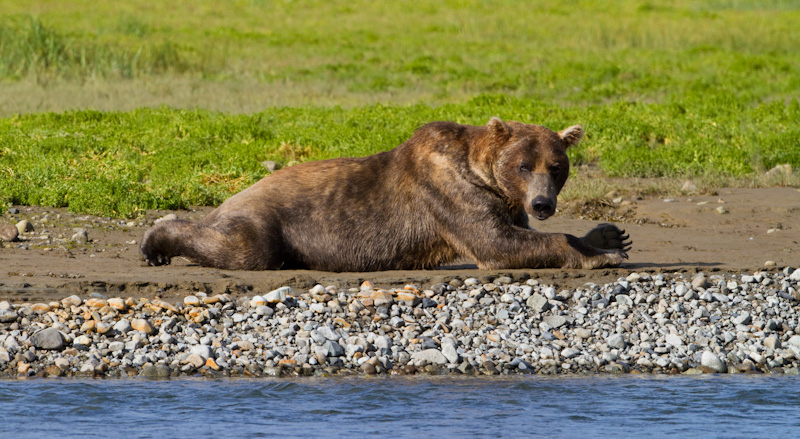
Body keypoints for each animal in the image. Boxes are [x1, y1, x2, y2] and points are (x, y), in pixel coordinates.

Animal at [142, 117, 632, 272]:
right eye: (523, 166)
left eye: (557, 167)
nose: (542, 203)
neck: (482, 172)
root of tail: (233, 197)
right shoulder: (450, 192)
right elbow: (496, 243)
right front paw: (601, 255)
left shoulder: (504, 203)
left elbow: (511, 232)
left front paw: (609, 236)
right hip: (266, 220)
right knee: (243, 248)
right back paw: (156, 240)